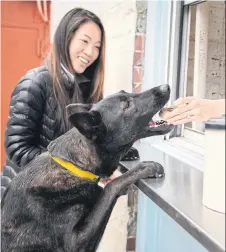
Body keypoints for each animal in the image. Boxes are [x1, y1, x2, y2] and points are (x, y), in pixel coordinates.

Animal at [0, 84, 173, 250]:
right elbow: (110, 187)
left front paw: (129, 153)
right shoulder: (77, 241)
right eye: (127, 105)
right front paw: (146, 167)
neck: (74, 165)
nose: (166, 86)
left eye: (127, 93)